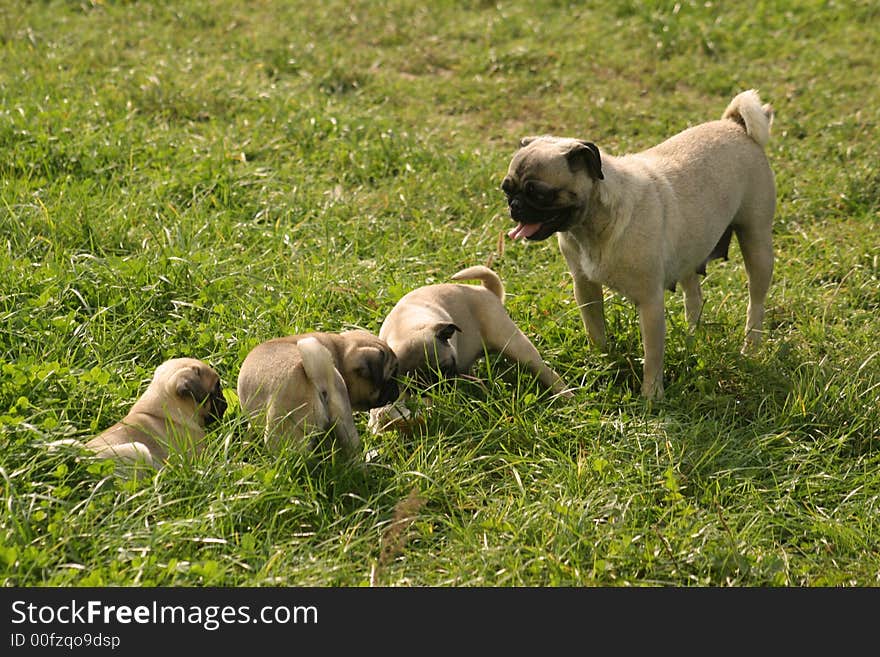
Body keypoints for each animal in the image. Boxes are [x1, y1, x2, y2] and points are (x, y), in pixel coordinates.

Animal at [502, 90, 776, 400]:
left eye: (540, 194)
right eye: (506, 189)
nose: (515, 206)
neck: (592, 226)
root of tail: (734, 125)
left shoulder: (650, 302)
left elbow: (653, 355)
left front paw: (651, 396)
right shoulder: (585, 288)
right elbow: (595, 330)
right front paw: (601, 361)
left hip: (756, 241)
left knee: (756, 303)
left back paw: (750, 348)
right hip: (690, 250)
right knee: (694, 296)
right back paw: (691, 336)